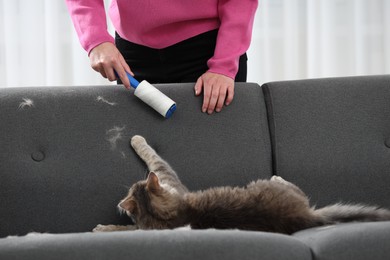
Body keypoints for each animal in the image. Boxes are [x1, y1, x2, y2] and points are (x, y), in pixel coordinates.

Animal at [93, 135, 390, 235]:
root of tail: (305, 216)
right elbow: (123, 228)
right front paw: (104, 228)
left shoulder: (167, 177)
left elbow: (152, 156)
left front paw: (136, 138)